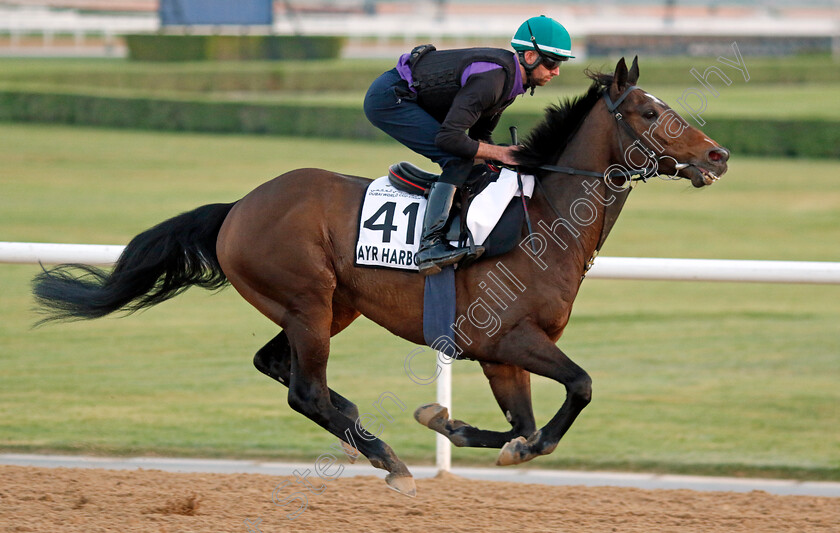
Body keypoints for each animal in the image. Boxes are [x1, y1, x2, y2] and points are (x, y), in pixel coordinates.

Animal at [34, 57, 728, 494]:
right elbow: (579, 388)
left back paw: (357, 429)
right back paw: (384, 457)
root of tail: (238, 206)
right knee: (304, 389)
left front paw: (448, 422)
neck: (543, 218)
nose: (717, 154)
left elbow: (525, 426)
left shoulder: (499, 354)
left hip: (329, 306)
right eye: (647, 112)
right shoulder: (507, 338)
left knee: (277, 366)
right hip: (307, 301)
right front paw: (461, 431)